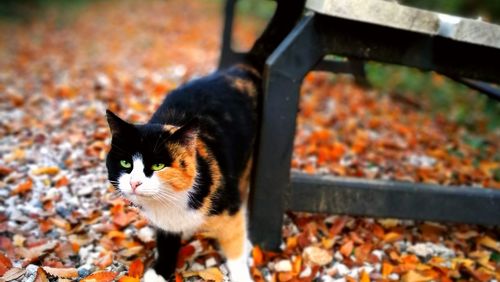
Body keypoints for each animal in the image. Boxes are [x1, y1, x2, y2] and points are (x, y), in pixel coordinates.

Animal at [105, 1, 304, 280]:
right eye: (125, 163)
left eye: (157, 165)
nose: (134, 182)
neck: (169, 204)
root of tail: (239, 69)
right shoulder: (166, 225)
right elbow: (166, 242)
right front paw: (161, 270)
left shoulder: (229, 207)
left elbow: (234, 248)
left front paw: (241, 269)